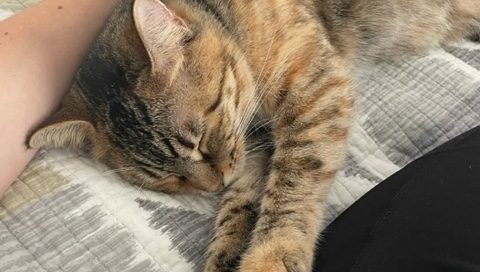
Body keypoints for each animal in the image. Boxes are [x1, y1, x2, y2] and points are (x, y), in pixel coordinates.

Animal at [28, 0, 478, 272]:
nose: (213, 184)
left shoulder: (316, 90)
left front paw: (271, 255)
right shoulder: (253, 144)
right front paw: (228, 252)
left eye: (201, 139)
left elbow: (291, 187)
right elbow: (240, 203)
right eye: (170, 179)